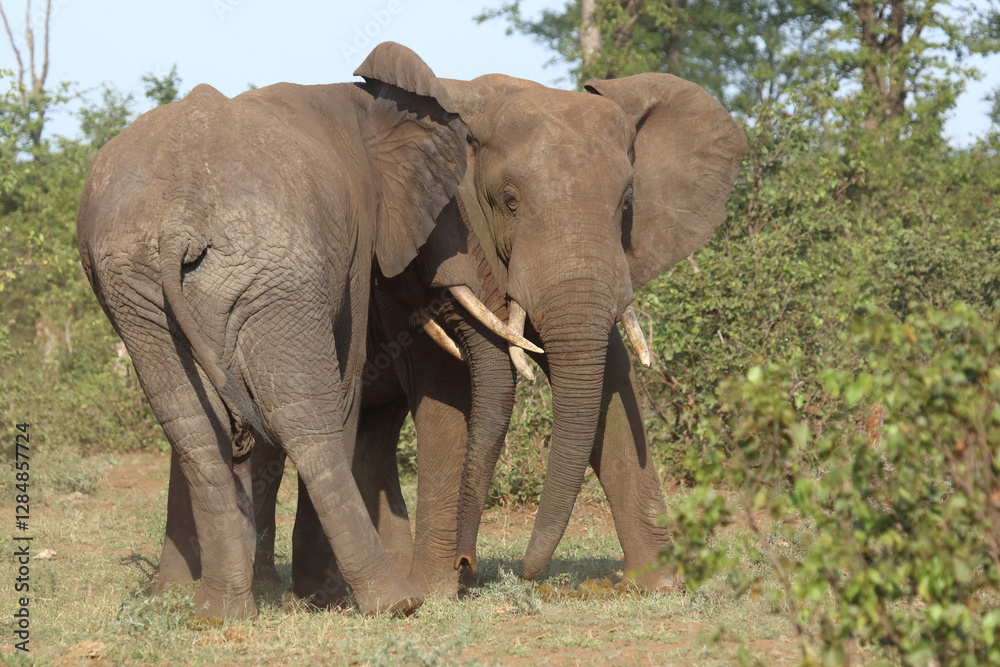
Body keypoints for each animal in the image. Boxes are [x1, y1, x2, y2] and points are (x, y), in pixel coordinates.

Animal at [74, 42, 536, 619]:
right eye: (449, 213)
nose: (466, 566)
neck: (364, 106)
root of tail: (181, 221)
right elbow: (345, 385)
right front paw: (324, 598)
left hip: (136, 288)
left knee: (193, 424)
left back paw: (218, 612)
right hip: (278, 273)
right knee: (305, 415)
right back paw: (392, 602)